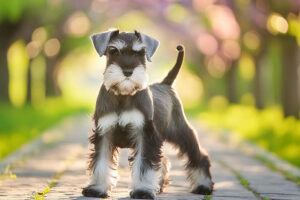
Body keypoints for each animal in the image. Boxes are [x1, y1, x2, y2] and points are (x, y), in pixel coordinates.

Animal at [82, 28, 213, 199]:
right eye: (113, 50)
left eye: (141, 53)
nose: (128, 71)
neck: (123, 95)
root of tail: (165, 84)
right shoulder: (104, 133)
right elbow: (100, 162)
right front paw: (97, 189)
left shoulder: (145, 134)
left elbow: (144, 165)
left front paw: (142, 190)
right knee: (164, 160)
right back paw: (159, 185)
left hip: (180, 132)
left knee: (197, 155)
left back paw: (203, 185)